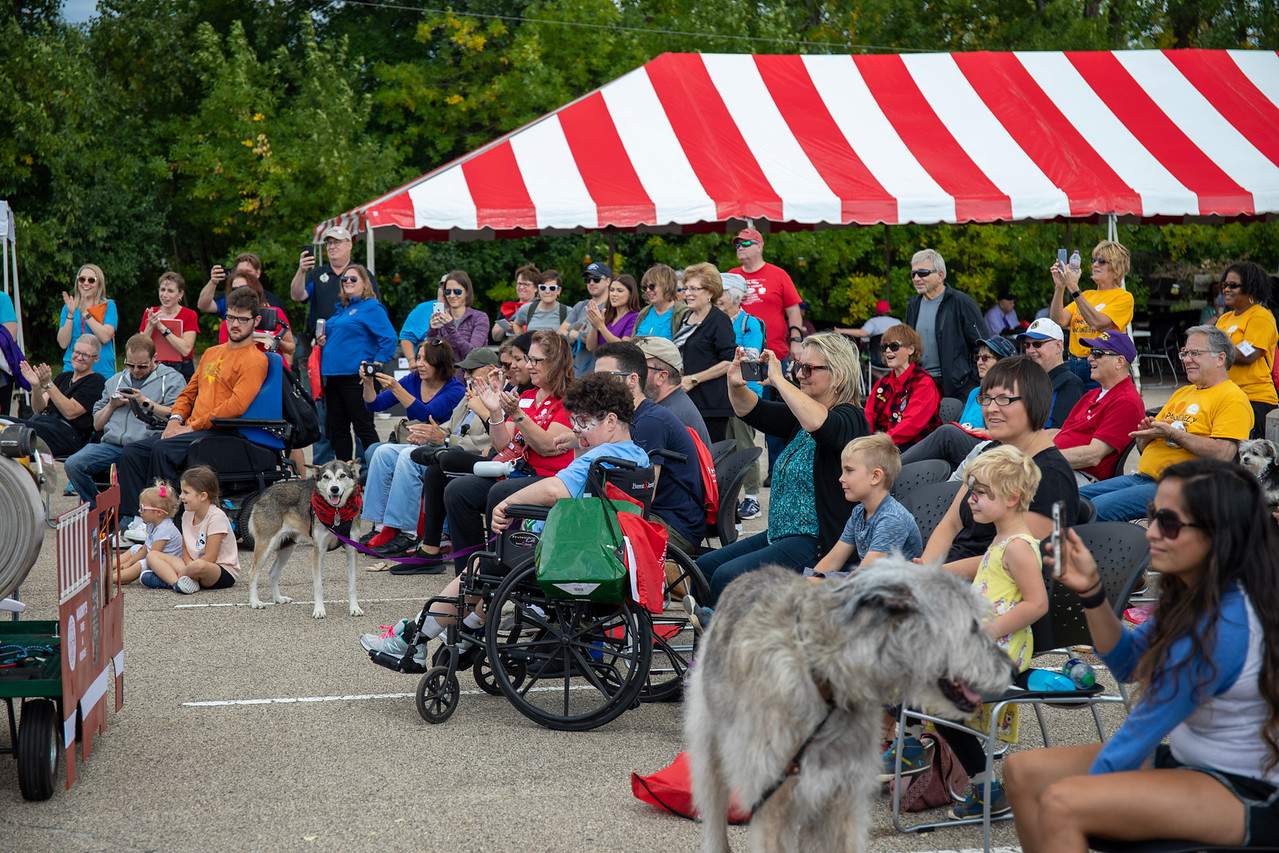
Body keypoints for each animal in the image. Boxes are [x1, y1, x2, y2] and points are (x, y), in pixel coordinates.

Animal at [246, 460, 365, 621]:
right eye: (326, 476)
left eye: (342, 475)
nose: (334, 489)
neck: (337, 513)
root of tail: (264, 493)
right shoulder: (319, 552)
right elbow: (318, 586)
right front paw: (319, 610)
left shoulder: (352, 551)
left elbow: (352, 585)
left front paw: (354, 608)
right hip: (266, 546)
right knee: (252, 574)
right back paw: (254, 602)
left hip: (287, 547)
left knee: (272, 573)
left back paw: (278, 599)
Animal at [685, 560, 1012, 853]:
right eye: (972, 626)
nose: (1010, 667)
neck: (828, 679)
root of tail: (751, 573)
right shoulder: (775, 802)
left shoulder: (840, 797)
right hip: (711, 747)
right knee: (714, 809)